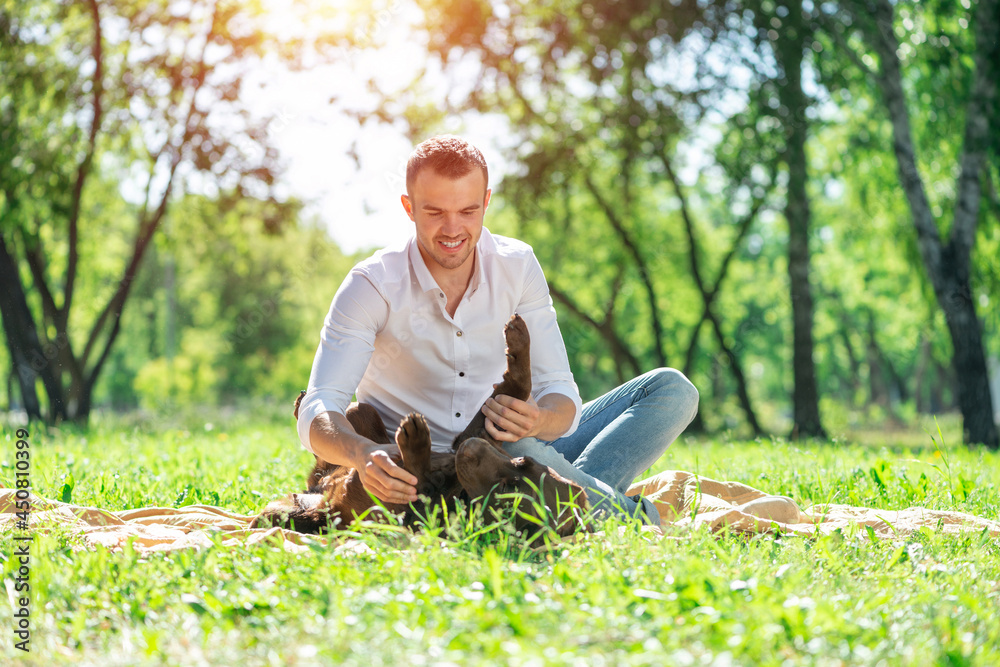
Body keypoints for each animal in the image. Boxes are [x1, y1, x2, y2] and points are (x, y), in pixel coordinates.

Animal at [250, 314, 588, 544]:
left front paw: (415, 444)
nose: (472, 449)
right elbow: (518, 386)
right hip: (362, 419)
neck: (454, 485)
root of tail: (315, 497)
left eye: (507, 489)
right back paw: (303, 403)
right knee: (350, 414)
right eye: (522, 461)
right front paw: (519, 337)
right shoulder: (480, 431)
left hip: (294, 515)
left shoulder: (394, 513)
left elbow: (415, 483)